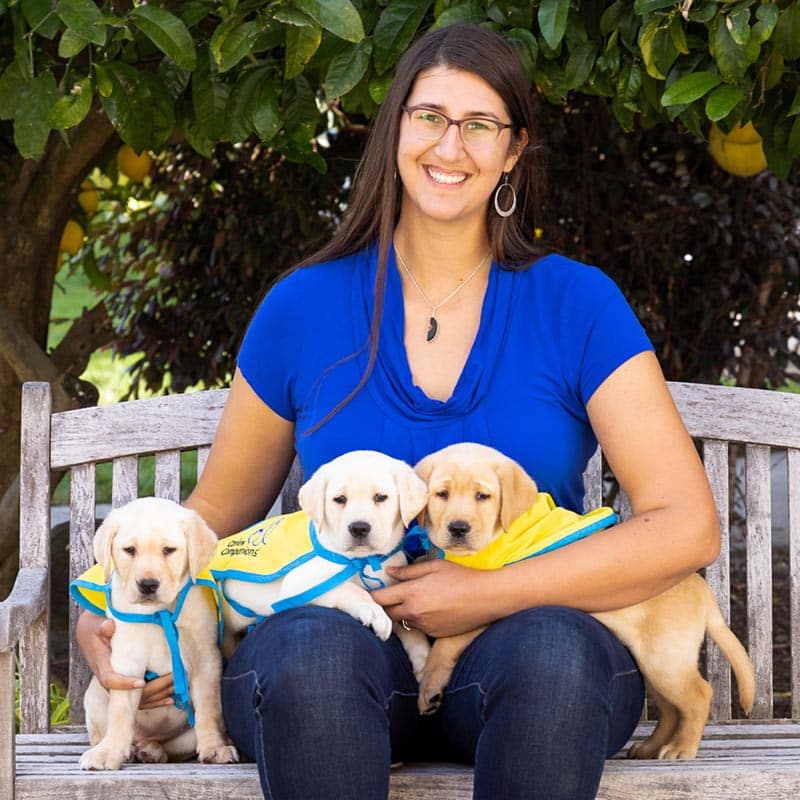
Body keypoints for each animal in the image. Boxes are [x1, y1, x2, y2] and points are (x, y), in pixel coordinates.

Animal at [74, 500, 238, 768]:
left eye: (168, 550)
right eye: (130, 550)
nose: (148, 585)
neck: (158, 612)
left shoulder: (206, 658)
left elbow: (208, 709)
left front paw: (215, 748)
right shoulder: (126, 664)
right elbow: (120, 713)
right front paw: (108, 753)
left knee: (171, 748)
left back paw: (152, 750)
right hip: (94, 697)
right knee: (109, 732)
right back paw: (121, 748)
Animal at [212, 454, 432, 680]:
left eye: (380, 497)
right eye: (340, 499)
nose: (359, 528)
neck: (361, 560)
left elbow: (411, 629)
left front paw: (423, 659)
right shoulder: (297, 586)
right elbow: (347, 588)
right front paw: (372, 609)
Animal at [416, 440, 752, 760]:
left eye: (482, 496)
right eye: (441, 494)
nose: (458, 528)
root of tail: (702, 589)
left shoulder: (482, 602)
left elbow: (446, 643)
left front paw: (429, 686)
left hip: (665, 659)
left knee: (698, 696)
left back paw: (682, 748)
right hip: (655, 663)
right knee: (671, 709)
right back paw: (649, 748)